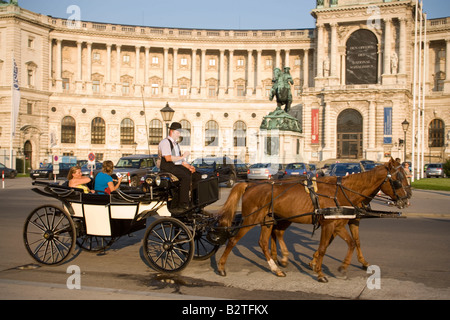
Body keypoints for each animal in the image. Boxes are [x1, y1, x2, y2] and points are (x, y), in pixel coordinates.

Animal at [218, 158, 412, 282]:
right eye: (398, 179)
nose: (407, 199)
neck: (343, 192)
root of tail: (250, 184)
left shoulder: (339, 224)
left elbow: (352, 242)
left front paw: (339, 266)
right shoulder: (330, 224)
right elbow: (325, 247)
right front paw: (320, 272)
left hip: (268, 220)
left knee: (265, 241)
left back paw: (277, 267)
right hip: (252, 218)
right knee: (234, 239)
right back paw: (221, 267)